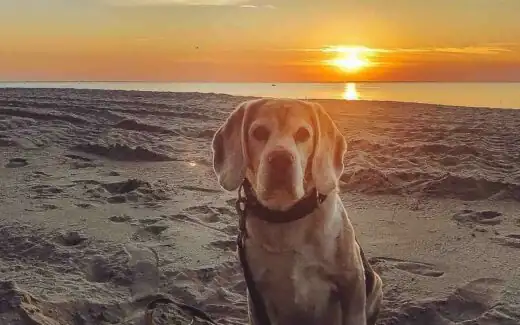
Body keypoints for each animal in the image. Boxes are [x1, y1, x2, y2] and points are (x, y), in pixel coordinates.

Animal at [210, 97, 382, 322]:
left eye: (303, 134)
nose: (280, 159)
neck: (287, 218)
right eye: (259, 132)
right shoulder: (256, 298)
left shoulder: (352, 283)